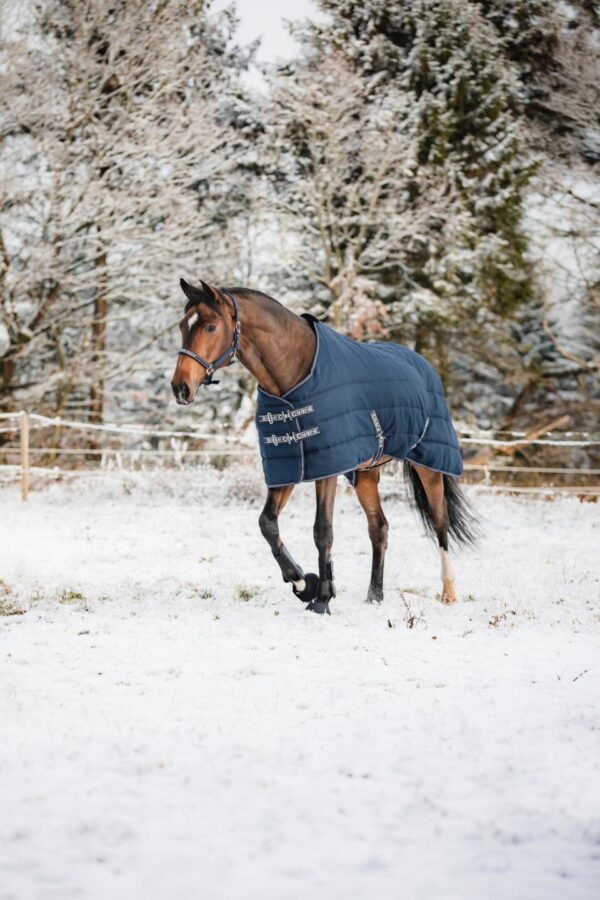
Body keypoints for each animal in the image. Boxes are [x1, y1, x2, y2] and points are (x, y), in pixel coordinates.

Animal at [171, 278, 476, 616]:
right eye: (183, 326)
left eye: (211, 327)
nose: (180, 387)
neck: (293, 378)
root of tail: (422, 365)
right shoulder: (290, 464)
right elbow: (267, 524)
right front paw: (303, 583)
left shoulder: (327, 467)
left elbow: (323, 531)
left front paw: (322, 599)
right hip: (365, 474)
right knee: (379, 528)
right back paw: (374, 596)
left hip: (429, 464)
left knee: (439, 522)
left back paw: (448, 593)